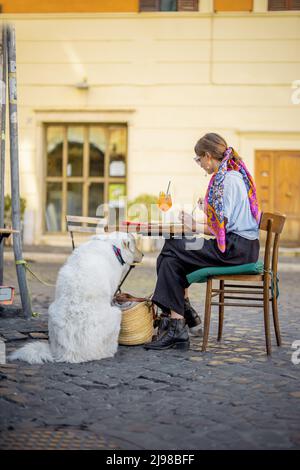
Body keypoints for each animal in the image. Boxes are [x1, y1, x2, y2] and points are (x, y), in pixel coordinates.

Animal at [9, 231, 144, 364]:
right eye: (135, 243)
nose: (143, 254)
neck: (111, 245)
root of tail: (70, 354)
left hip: (51, 311)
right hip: (116, 314)